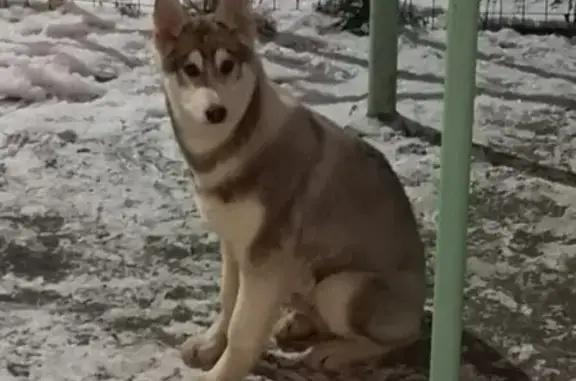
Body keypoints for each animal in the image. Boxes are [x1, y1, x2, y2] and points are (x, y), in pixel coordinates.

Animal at [151, 0, 426, 378]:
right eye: (190, 69)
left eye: (227, 65)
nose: (216, 111)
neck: (236, 149)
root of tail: (422, 306)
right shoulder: (233, 246)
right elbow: (227, 301)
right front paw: (210, 345)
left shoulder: (262, 258)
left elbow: (242, 329)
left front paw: (221, 372)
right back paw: (297, 321)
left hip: (342, 288)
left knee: (395, 339)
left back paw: (336, 352)